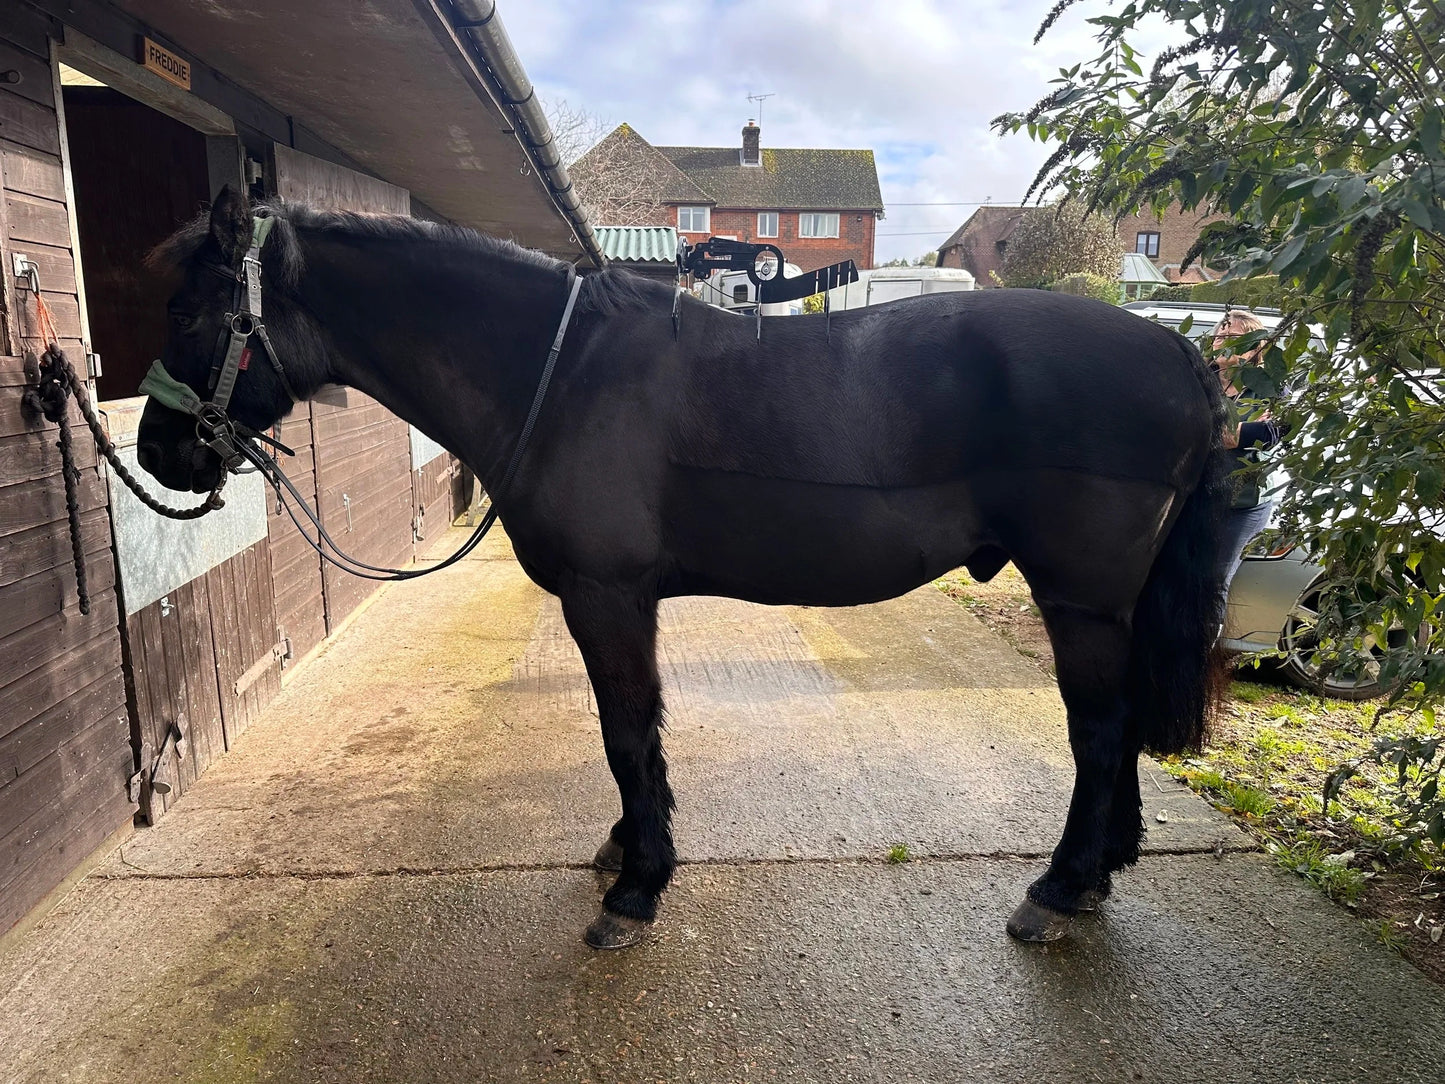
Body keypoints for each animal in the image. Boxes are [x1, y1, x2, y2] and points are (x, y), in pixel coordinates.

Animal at [137, 186, 1231, 949]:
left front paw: (636, 886)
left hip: (1079, 599)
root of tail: (1180, 351)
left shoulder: (607, 596)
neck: (557, 373)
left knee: (1097, 731)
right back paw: (1098, 871)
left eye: (191, 312)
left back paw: (1057, 886)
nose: (159, 454)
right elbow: (632, 736)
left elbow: (627, 732)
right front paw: (629, 851)